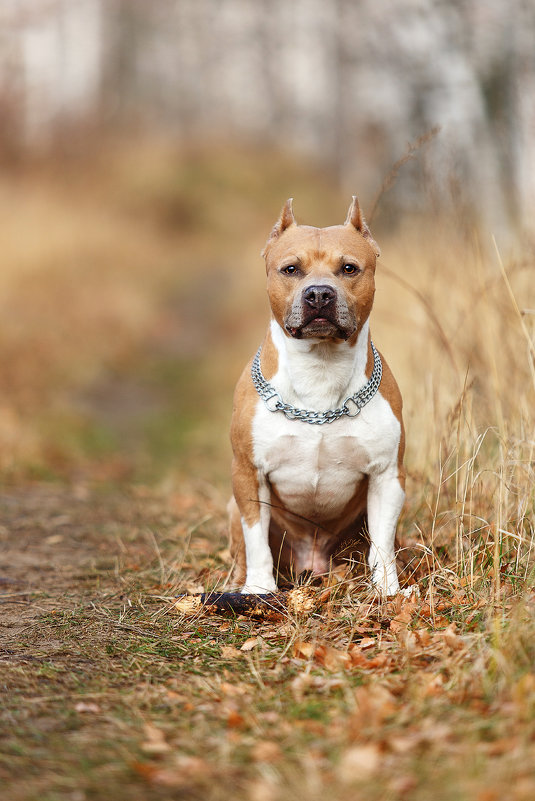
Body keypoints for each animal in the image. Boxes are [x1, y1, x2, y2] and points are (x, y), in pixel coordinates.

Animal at [227, 195, 406, 592]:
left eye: (349, 269)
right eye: (291, 269)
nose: (320, 293)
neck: (321, 368)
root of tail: (312, 562)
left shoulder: (386, 476)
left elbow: (382, 543)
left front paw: (387, 591)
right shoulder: (249, 473)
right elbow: (255, 539)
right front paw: (259, 590)